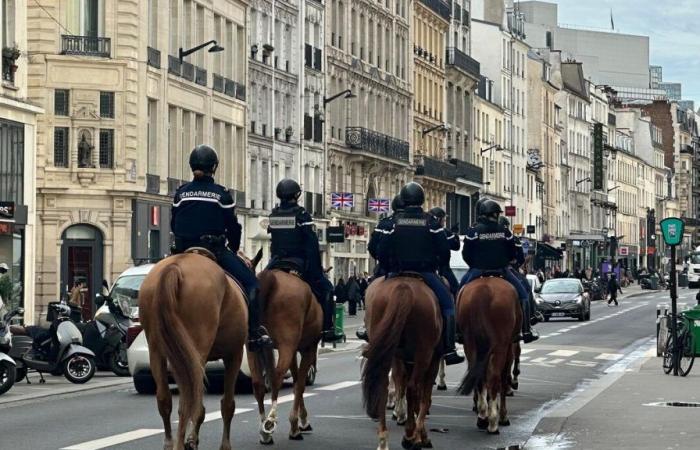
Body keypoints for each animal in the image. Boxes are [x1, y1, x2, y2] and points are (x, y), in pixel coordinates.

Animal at [138, 253, 247, 450]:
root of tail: (175, 266)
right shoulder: (234, 355)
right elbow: (227, 404)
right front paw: (222, 445)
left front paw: (192, 440)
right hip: (196, 353)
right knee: (188, 401)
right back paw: (181, 444)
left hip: (158, 352)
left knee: (165, 398)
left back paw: (170, 443)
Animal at [250, 268, 324, 444]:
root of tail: (271, 276)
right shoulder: (308, 349)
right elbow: (300, 384)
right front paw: (297, 425)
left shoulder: (291, 350)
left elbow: (296, 380)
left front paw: (300, 421)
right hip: (286, 345)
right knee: (276, 378)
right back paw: (270, 423)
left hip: (253, 347)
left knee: (258, 383)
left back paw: (263, 427)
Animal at [364, 276, 440, 450]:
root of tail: (403, 287)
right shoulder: (432, 360)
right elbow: (423, 398)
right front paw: (422, 436)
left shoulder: (403, 359)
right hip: (423, 354)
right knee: (412, 388)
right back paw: (409, 437)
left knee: (384, 384)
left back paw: (383, 439)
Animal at [456, 276, 524, 434]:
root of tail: (482, 290)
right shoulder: (509, 347)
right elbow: (504, 378)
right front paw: (503, 416)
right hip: (500, 347)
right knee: (494, 378)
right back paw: (493, 422)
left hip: (470, 345)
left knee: (480, 377)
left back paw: (482, 416)